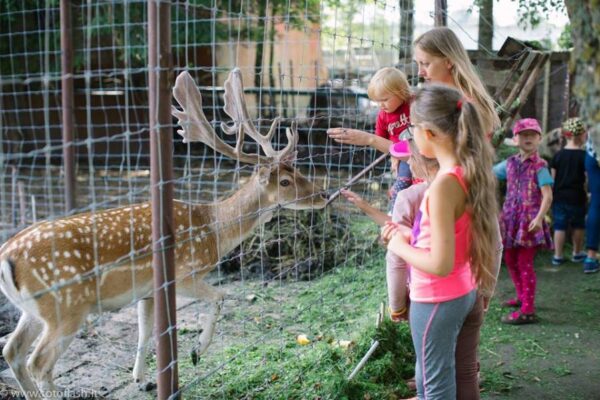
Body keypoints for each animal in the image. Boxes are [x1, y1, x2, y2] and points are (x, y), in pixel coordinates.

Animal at [0, 69, 328, 400]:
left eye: (298, 171)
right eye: (285, 181)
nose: (324, 194)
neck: (213, 229)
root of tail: (6, 257)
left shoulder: (146, 290)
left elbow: (145, 331)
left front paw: (141, 378)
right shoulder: (183, 274)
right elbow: (220, 296)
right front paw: (196, 351)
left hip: (34, 310)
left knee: (12, 351)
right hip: (67, 306)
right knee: (39, 362)